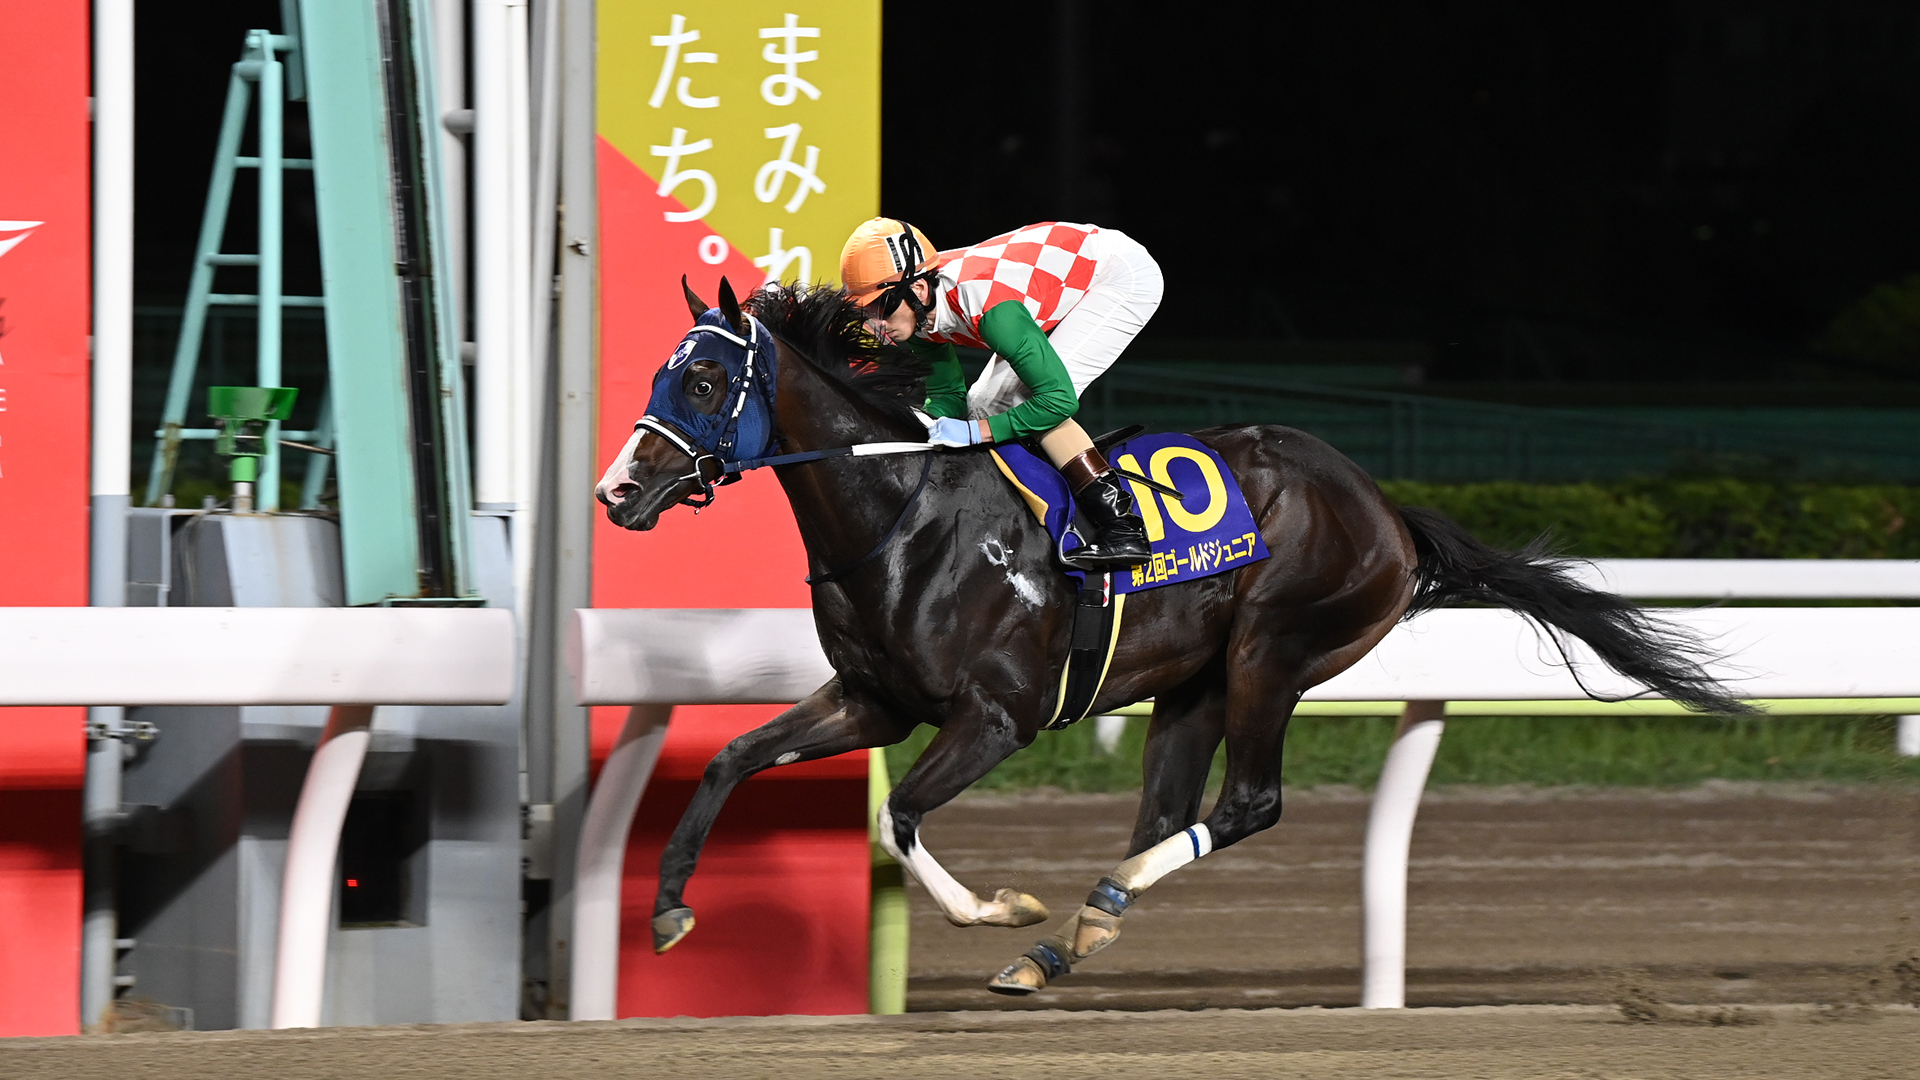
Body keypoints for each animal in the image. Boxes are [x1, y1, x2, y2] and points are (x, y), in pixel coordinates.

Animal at [595, 277, 1745, 995]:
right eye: (660, 374)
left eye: (704, 381)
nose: (617, 492)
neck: (900, 512)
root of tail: (1385, 507)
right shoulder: (872, 701)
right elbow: (731, 761)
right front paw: (667, 912)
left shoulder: (998, 717)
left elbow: (904, 817)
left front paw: (1001, 909)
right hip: (1191, 680)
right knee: (1168, 811)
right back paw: (1076, 936)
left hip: (1273, 650)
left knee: (1248, 804)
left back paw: (1075, 919)